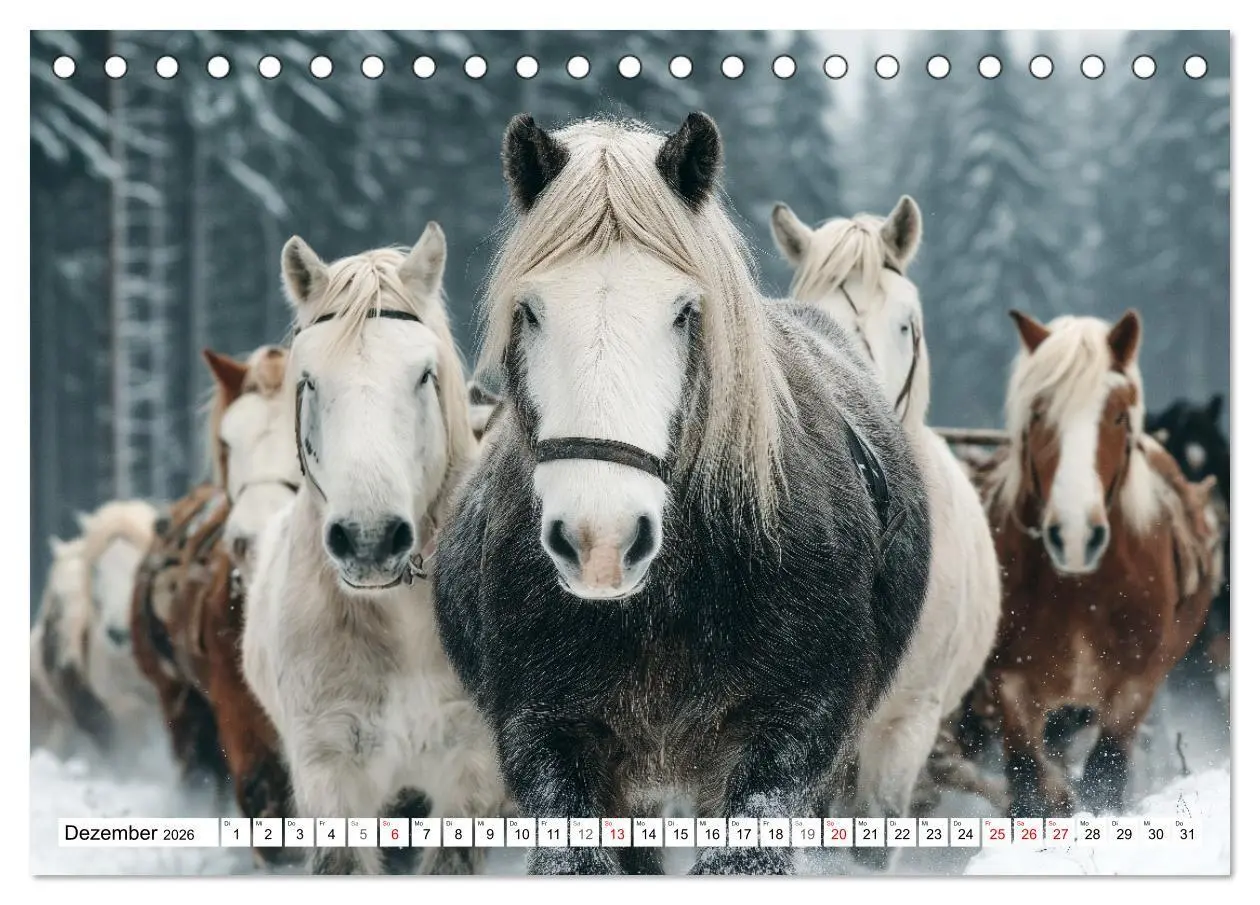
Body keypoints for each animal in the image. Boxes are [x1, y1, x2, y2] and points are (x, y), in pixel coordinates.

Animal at [981, 309, 1220, 817]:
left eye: (1117, 415)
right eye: (1038, 412)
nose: (1074, 537)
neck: (1077, 589)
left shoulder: (1133, 687)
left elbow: (1105, 778)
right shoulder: (1011, 686)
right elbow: (1027, 786)